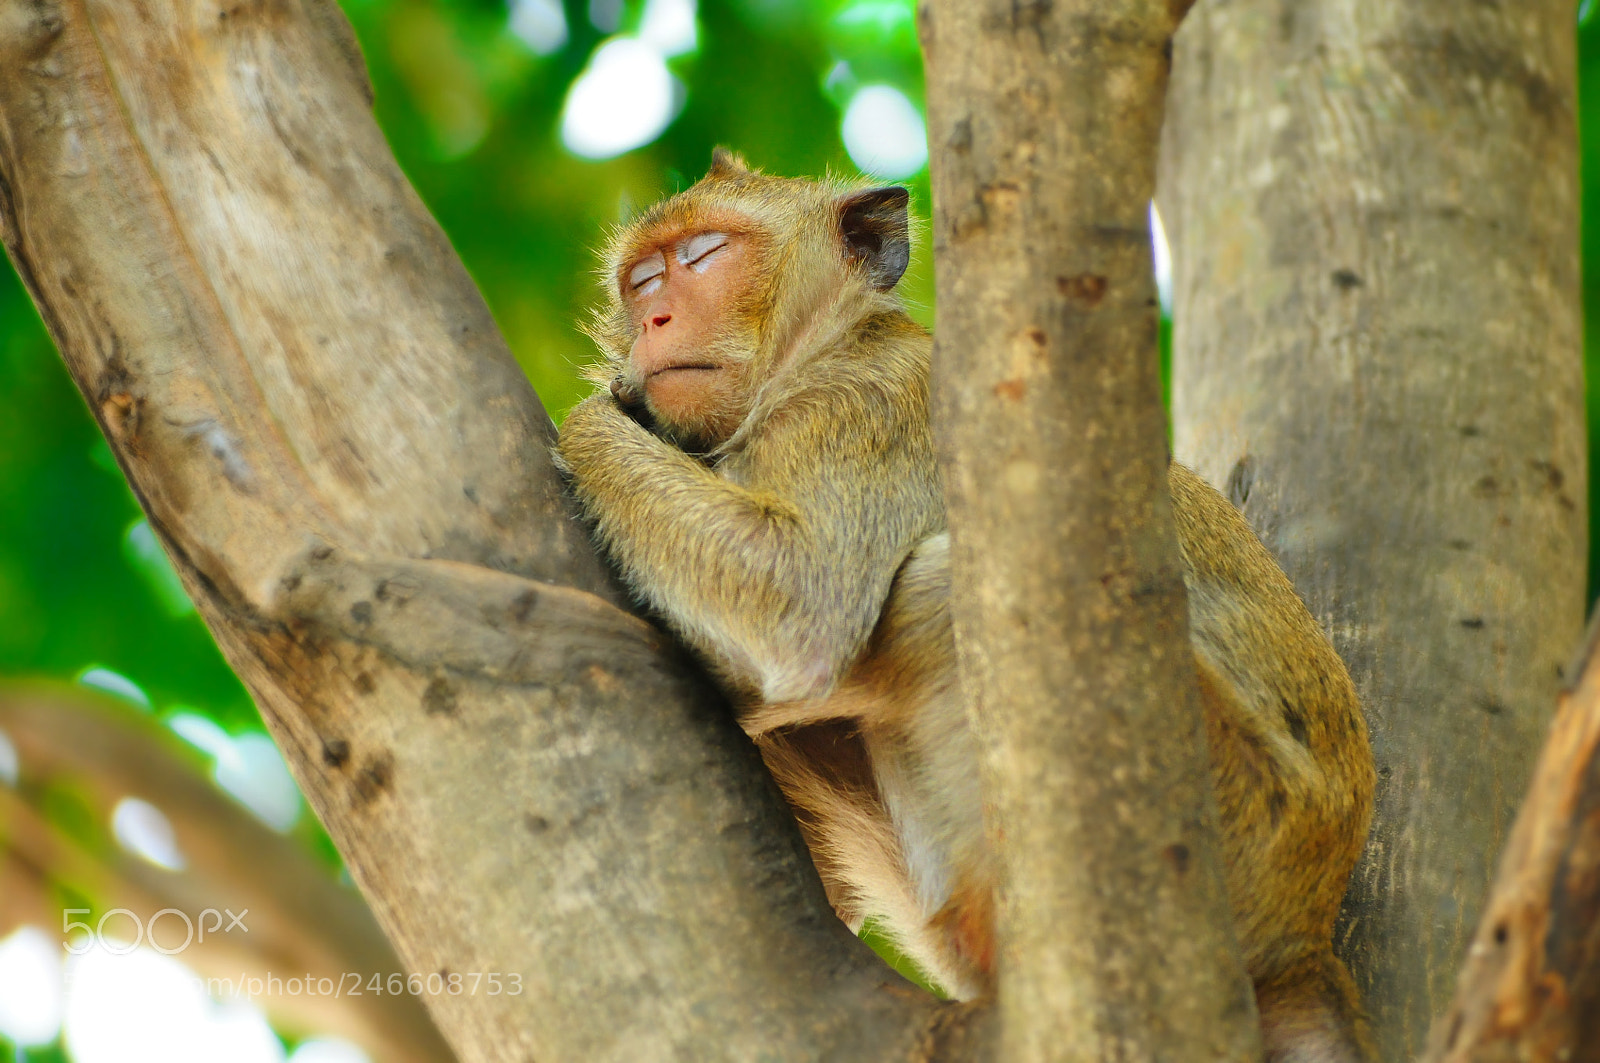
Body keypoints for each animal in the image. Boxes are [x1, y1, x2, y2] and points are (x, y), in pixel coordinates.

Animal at [556, 149, 1375, 1062]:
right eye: (641, 280)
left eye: (703, 255)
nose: (655, 318)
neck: (824, 346)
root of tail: (1304, 932)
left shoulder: (861, 409)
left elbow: (804, 598)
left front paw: (595, 407)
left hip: (1222, 808)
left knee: (943, 588)